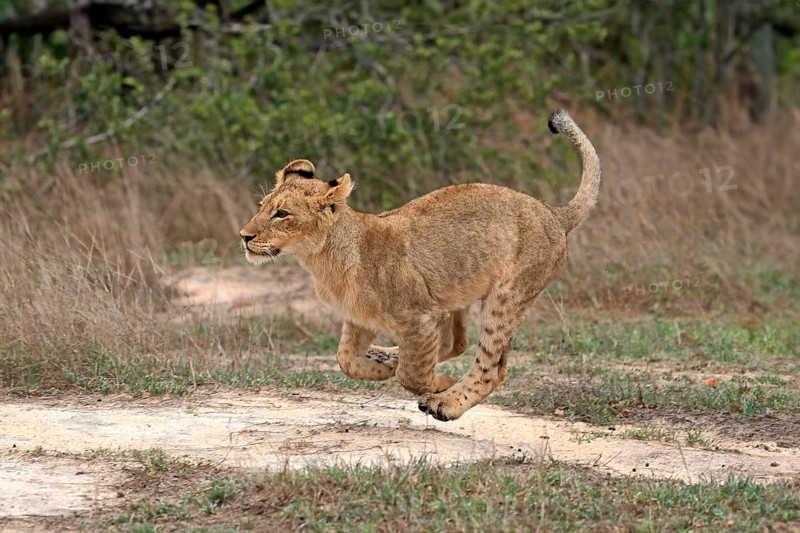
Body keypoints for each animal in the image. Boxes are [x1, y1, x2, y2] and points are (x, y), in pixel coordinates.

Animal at [240, 109, 600, 421]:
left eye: (282, 214)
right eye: (262, 206)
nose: (244, 236)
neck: (322, 261)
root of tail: (554, 213)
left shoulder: (419, 317)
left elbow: (412, 376)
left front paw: (436, 386)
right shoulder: (360, 319)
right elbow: (346, 360)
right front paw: (383, 365)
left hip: (506, 297)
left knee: (490, 366)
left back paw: (445, 404)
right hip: (452, 293)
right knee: (456, 343)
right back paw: (389, 354)